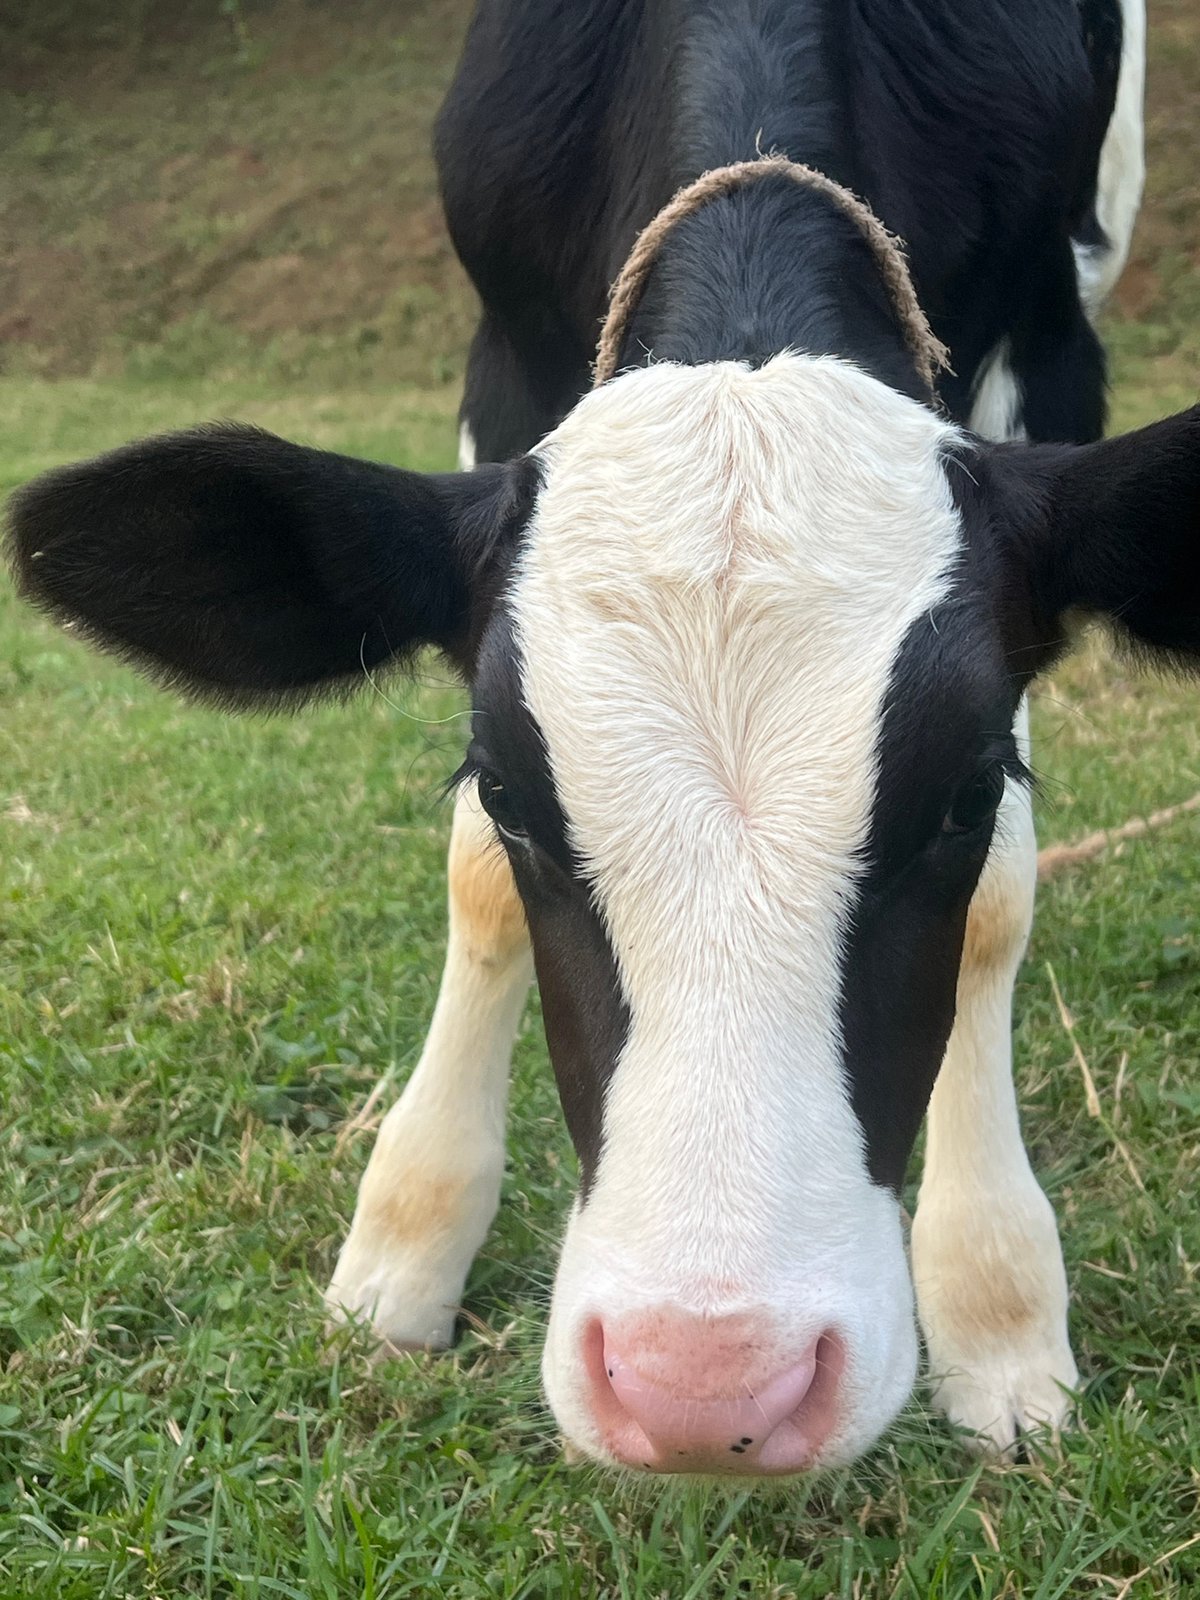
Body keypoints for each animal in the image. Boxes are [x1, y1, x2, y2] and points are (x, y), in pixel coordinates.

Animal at [8, 0, 1191, 1479]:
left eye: (967, 794)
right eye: (508, 787)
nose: (707, 1384)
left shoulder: (1045, 360)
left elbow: (996, 907)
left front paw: (999, 1308)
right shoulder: (503, 360)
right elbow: (474, 888)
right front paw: (405, 1241)